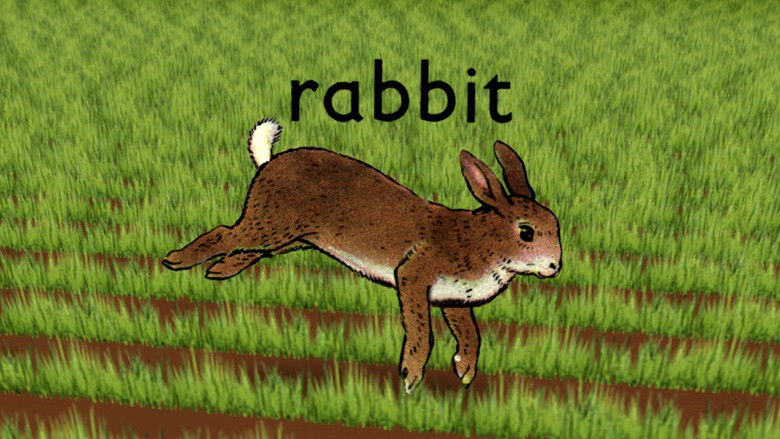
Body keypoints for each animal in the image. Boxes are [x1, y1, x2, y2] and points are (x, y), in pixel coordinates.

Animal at [161, 118, 562, 394]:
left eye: (556, 224)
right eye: (526, 232)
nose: (555, 266)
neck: (484, 240)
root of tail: (268, 163)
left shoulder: (454, 298)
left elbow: (471, 334)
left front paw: (463, 371)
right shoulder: (413, 276)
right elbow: (422, 331)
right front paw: (410, 379)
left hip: (292, 237)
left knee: (249, 248)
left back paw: (219, 271)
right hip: (271, 225)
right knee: (224, 233)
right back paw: (176, 261)